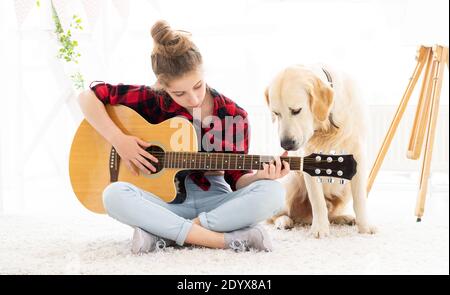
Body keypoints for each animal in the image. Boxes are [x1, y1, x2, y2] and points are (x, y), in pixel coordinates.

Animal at [264, 65, 376, 238]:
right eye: (276, 113)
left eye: (296, 110)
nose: (286, 145)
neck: (327, 125)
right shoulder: (308, 158)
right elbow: (317, 201)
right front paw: (320, 229)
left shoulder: (358, 154)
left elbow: (360, 200)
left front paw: (364, 227)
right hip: (290, 181)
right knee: (277, 215)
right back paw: (284, 221)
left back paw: (343, 218)